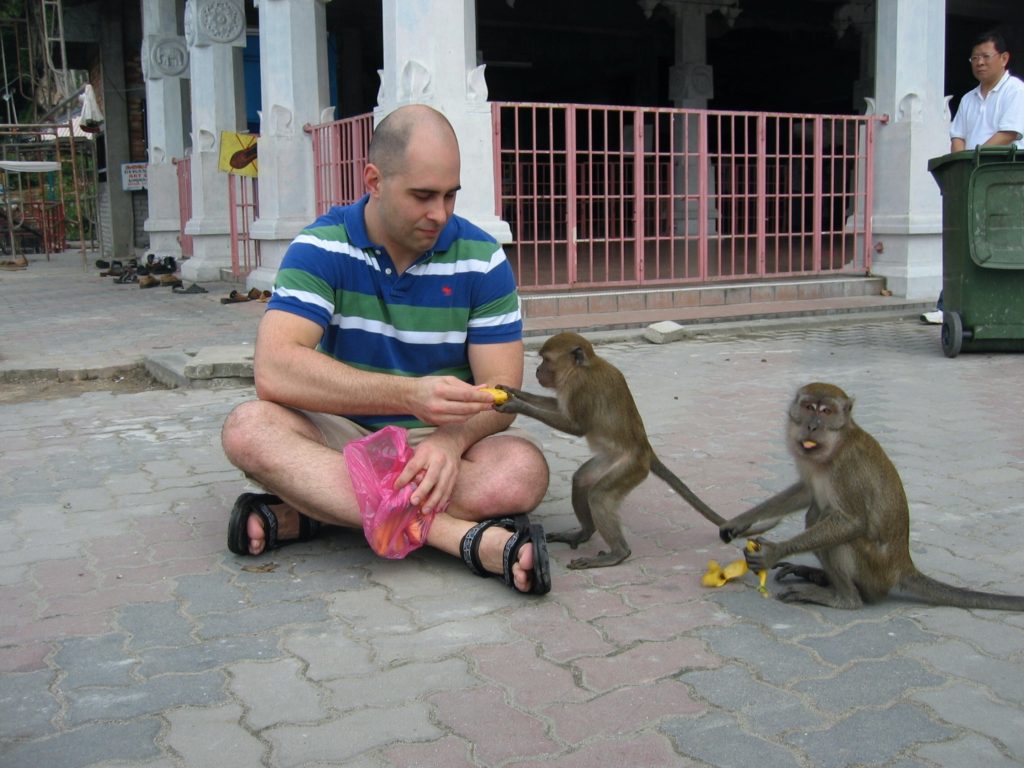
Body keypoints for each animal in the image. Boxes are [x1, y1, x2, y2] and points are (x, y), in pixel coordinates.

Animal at [494, 331, 725, 569]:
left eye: (546, 360)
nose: (538, 370)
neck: (582, 368)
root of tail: (645, 449)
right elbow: (556, 406)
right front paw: (514, 392)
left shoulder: (580, 387)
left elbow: (576, 427)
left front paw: (516, 405)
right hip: (611, 459)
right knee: (582, 480)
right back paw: (584, 533)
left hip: (631, 468)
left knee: (598, 496)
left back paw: (618, 553)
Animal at [719, 382, 1024, 611]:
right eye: (808, 408)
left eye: (826, 411)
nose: (812, 425)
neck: (835, 446)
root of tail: (903, 566)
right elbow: (805, 491)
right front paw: (739, 521)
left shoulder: (848, 468)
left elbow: (853, 522)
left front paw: (776, 551)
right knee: (816, 512)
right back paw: (820, 577)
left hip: (874, 570)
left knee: (826, 519)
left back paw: (845, 599)